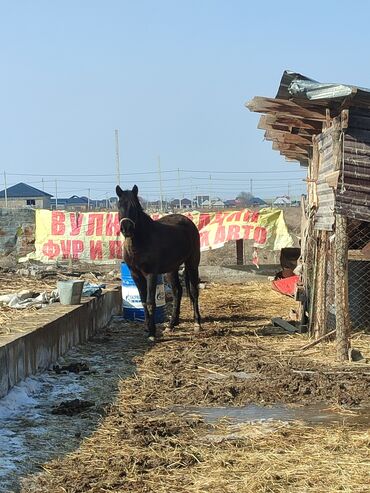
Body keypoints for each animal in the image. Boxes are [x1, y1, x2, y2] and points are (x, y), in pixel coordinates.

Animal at [116, 183, 201, 340]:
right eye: (119, 205)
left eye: (135, 206)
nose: (126, 228)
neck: (141, 240)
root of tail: (188, 221)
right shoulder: (135, 274)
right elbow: (143, 301)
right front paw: (148, 328)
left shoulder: (151, 274)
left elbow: (151, 302)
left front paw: (152, 333)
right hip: (172, 269)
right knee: (177, 291)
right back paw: (172, 324)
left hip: (192, 263)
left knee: (193, 291)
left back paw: (197, 323)